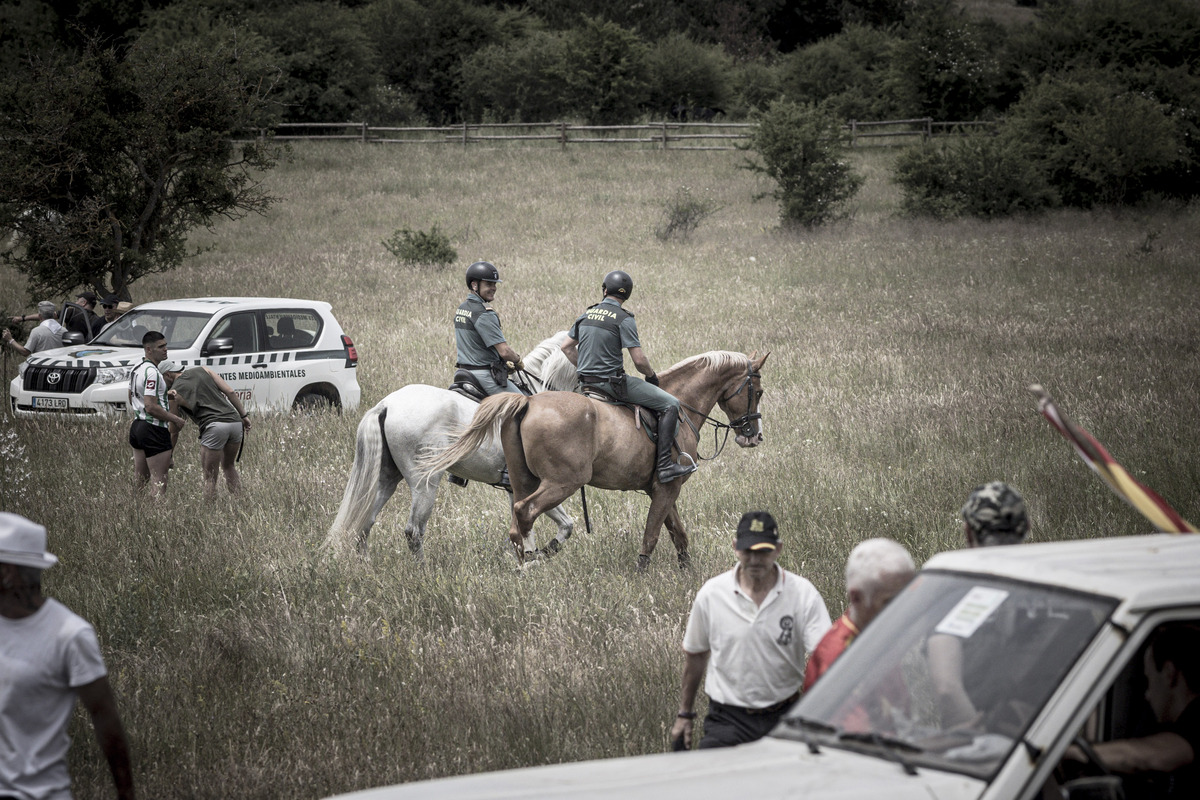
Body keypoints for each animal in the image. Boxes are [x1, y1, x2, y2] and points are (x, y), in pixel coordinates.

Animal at [324, 331, 576, 563]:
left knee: (365, 521)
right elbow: (564, 525)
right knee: (413, 531)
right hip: (424, 482)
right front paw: (540, 556)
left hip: (386, 477)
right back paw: (422, 571)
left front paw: (529, 559)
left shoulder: (516, 489)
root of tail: (387, 404)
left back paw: (365, 565)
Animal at [422, 352, 768, 568]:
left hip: (522, 480)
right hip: (562, 483)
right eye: (759, 391)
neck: (680, 406)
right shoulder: (668, 488)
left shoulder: (661, 488)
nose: (753, 436)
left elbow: (677, 533)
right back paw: (533, 562)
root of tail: (528, 402)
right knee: (525, 511)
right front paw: (642, 572)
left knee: (516, 523)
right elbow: (653, 533)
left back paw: (528, 561)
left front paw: (687, 572)